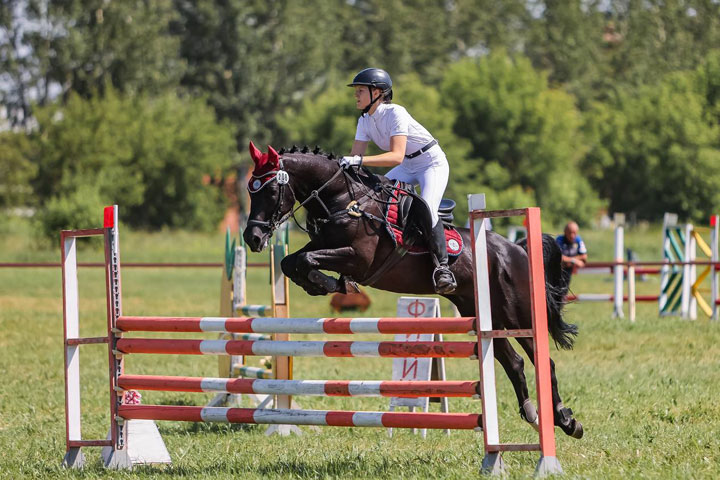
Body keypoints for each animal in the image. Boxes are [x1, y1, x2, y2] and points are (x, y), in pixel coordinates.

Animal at [245, 142, 584, 438]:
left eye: (271, 190)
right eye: (250, 189)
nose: (252, 238)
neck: (344, 200)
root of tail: (516, 248)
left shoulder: (358, 258)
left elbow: (306, 260)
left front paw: (330, 283)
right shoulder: (322, 245)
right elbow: (291, 261)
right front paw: (323, 284)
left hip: (517, 314)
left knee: (543, 360)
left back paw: (566, 420)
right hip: (482, 313)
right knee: (513, 362)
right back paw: (533, 413)